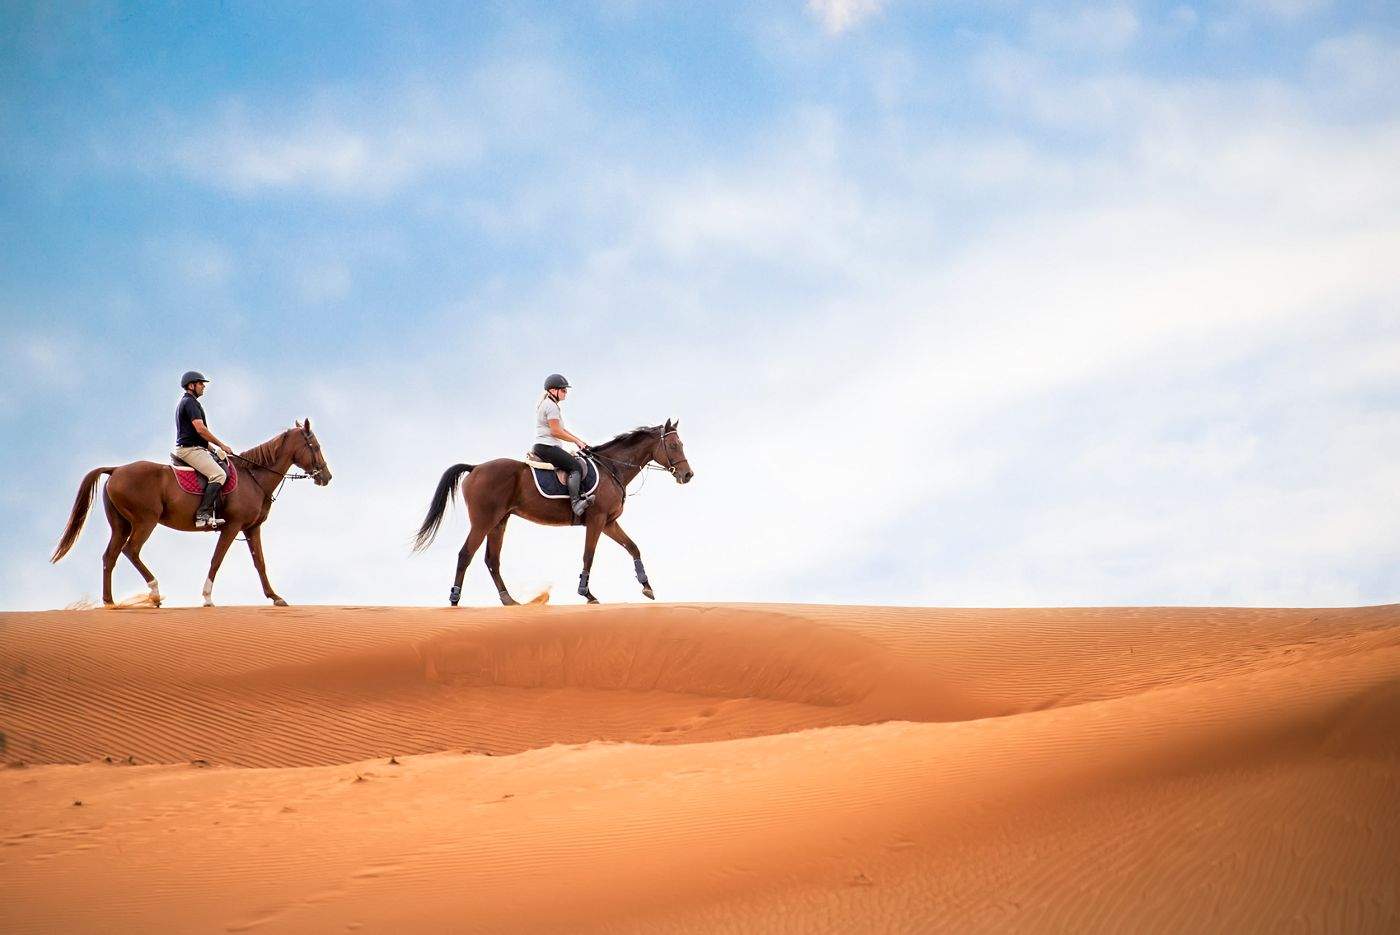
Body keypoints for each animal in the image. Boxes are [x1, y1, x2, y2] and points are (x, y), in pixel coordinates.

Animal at [48, 419, 333, 610]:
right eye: (315, 445)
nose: (326, 477)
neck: (253, 477)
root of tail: (116, 469)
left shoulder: (252, 528)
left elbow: (260, 563)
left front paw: (275, 597)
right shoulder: (232, 526)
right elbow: (216, 560)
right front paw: (207, 597)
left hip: (121, 525)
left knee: (110, 556)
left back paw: (109, 602)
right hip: (145, 522)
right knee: (131, 551)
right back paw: (154, 593)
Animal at [411, 417, 697, 607]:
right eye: (674, 446)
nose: (688, 475)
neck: (612, 469)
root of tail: (476, 467)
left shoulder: (609, 522)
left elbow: (633, 547)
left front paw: (647, 586)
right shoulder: (596, 520)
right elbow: (588, 555)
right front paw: (586, 593)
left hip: (499, 521)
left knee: (492, 560)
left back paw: (509, 600)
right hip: (483, 521)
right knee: (465, 555)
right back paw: (454, 599)